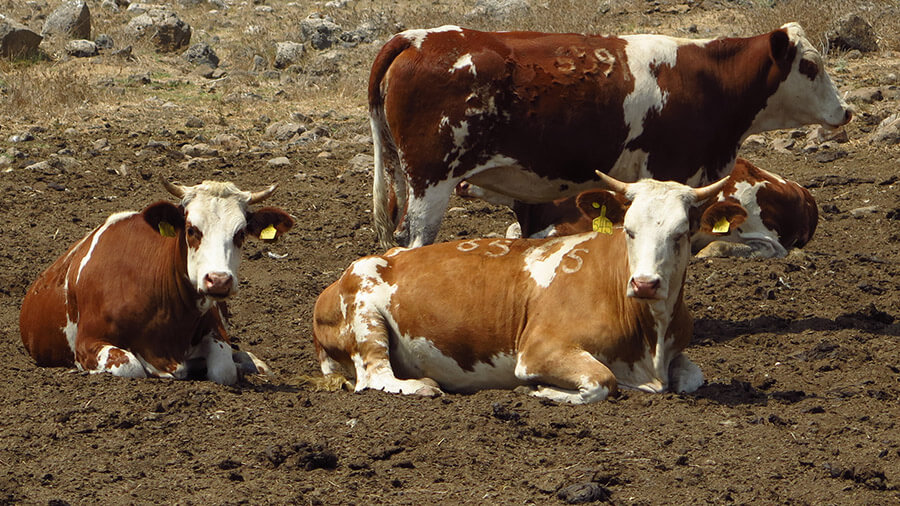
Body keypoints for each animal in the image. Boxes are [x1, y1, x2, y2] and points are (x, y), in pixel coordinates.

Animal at [18, 178, 292, 384]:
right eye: (191, 229)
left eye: (240, 233)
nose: (219, 280)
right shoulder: (87, 343)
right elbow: (130, 366)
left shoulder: (216, 332)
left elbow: (223, 369)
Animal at [312, 173, 740, 404]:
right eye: (629, 230)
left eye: (681, 234)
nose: (646, 283)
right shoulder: (539, 350)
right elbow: (602, 381)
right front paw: (544, 392)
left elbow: (693, 376)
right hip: (366, 319)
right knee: (374, 376)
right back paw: (422, 386)